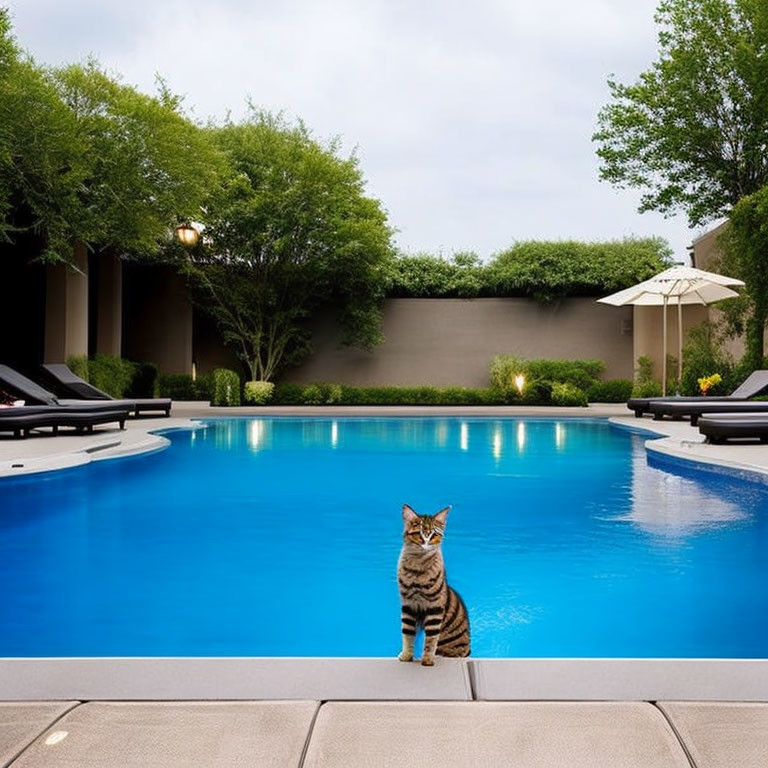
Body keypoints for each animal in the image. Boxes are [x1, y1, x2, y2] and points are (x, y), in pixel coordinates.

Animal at [400, 504, 472, 664]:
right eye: (418, 534)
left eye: (433, 535)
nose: (425, 545)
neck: (418, 570)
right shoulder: (407, 605)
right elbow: (407, 634)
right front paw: (406, 656)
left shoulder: (435, 608)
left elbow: (431, 639)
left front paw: (427, 659)